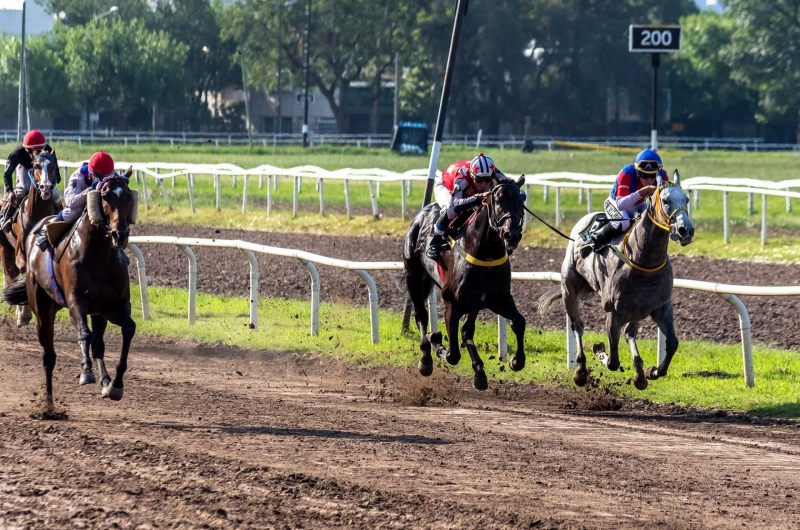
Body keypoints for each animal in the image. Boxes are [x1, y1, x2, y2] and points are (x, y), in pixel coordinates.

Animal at [0, 151, 59, 326]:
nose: (46, 188)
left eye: (54, 166)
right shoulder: (20, 253)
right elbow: (23, 272)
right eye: (36, 165)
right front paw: (24, 313)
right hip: (5, 247)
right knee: (12, 274)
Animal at [2, 171, 138, 410]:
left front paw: (115, 384)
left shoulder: (114, 306)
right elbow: (84, 333)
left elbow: (128, 328)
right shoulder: (76, 301)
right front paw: (86, 373)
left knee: (99, 345)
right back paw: (48, 405)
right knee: (49, 356)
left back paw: (105, 382)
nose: (119, 234)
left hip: (98, 312)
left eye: (128, 195)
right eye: (104, 195)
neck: (100, 256)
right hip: (42, 307)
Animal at [404, 176, 528, 388]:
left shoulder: (499, 299)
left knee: (466, 330)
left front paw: (516, 361)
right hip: (413, 278)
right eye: (498, 201)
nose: (512, 235)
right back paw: (427, 357)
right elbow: (452, 355)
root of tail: (422, 213)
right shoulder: (452, 303)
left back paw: (479, 370)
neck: (484, 253)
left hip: (474, 303)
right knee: (421, 316)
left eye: (521, 201)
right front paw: (437, 342)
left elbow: (519, 322)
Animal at [536, 171, 692, 390]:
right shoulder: (613, 311)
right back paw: (580, 371)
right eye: (666, 200)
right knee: (578, 326)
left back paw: (640, 373)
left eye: (686, 199)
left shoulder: (661, 307)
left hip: (637, 310)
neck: (642, 260)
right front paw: (599, 350)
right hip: (569, 290)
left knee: (629, 333)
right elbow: (612, 361)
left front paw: (652, 371)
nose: (686, 230)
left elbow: (671, 343)